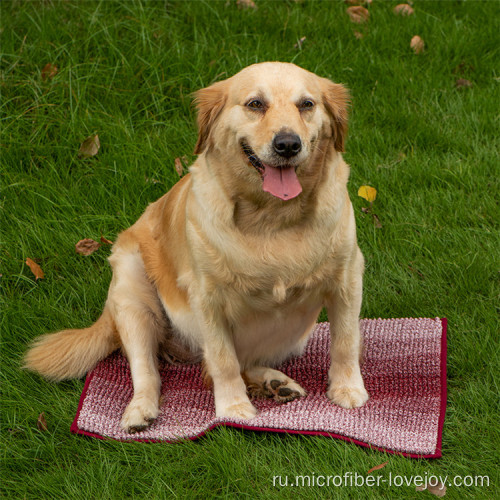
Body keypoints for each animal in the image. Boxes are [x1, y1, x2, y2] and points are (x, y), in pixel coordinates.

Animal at [25, 63, 370, 434]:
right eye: (255, 104)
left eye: (307, 104)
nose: (288, 144)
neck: (273, 218)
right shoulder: (208, 298)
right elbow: (222, 360)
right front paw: (233, 408)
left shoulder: (348, 277)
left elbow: (346, 341)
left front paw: (347, 388)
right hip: (133, 295)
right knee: (150, 371)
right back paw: (140, 411)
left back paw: (274, 383)